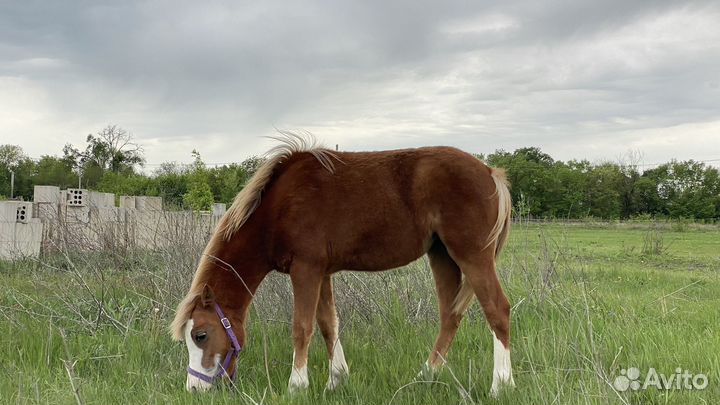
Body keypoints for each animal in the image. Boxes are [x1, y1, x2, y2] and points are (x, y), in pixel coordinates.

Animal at [171, 132, 515, 396]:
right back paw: (425, 376)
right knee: (450, 316)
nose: (194, 389)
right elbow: (328, 324)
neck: (278, 207)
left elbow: (302, 327)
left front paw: (297, 386)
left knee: (497, 309)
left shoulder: (306, 270)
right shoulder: (321, 273)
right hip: (442, 256)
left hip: (473, 256)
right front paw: (336, 380)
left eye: (200, 335)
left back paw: (501, 385)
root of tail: (489, 172)